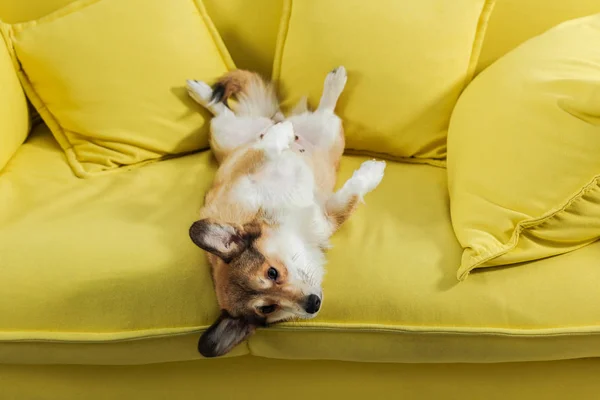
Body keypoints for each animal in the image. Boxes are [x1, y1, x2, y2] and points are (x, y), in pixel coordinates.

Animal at [185, 65, 386, 356]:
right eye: (268, 308)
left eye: (272, 272)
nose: (313, 304)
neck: (295, 229)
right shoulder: (328, 217)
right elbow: (350, 200)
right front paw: (373, 173)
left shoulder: (245, 176)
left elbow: (267, 148)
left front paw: (281, 136)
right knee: (323, 112)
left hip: (231, 134)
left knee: (224, 110)